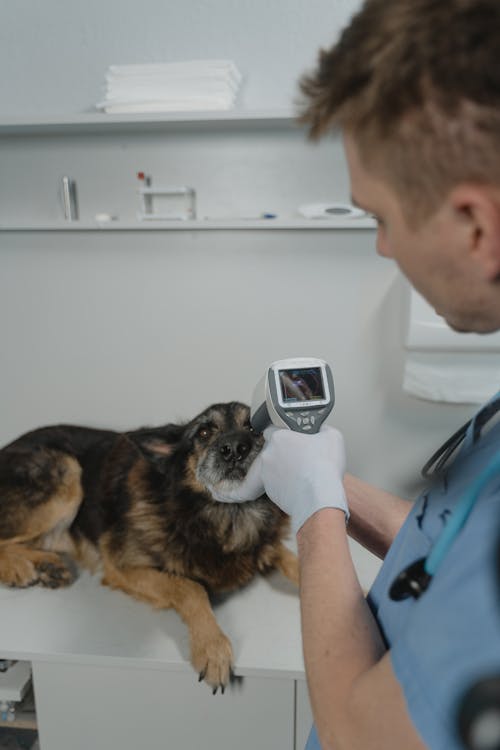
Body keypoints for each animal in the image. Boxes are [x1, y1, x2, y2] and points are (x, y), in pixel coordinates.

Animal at [0, 406, 296, 692]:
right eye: (203, 433)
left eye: (253, 428)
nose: (235, 448)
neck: (225, 517)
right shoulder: (122, 567)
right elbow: (191, 587)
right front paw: (212, 647)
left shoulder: (264, 542)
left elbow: (290, 556)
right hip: (67, 470)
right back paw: (20, 568)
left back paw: (47, 566)